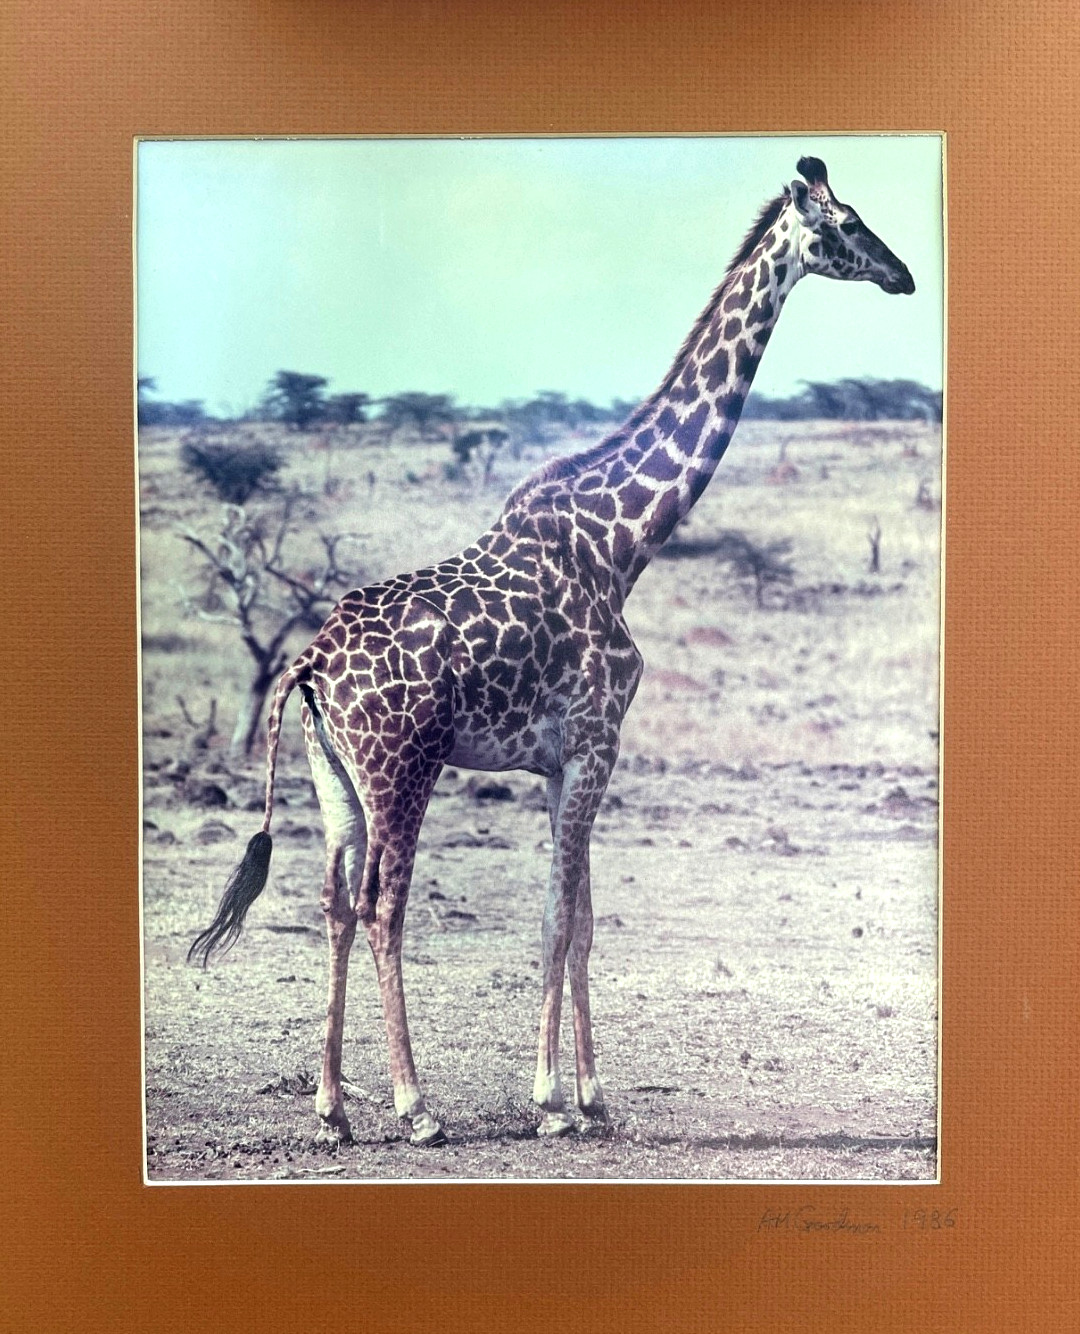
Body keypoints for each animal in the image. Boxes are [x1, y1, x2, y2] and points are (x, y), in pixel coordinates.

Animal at [189, 156, 915, 1146]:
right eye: (845, 224)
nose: (903, 275)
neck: (624, 543)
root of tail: (310, 665)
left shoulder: (560, 760)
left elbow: (579, 918)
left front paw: (593, 1095)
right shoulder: (597, 741)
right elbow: (562, 918)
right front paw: (549, 1102)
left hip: (331, 774)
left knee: (333, 904)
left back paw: (333, 1108)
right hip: (402, 768)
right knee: (382, 907)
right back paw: (415, 1107)